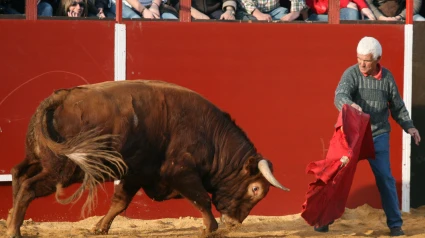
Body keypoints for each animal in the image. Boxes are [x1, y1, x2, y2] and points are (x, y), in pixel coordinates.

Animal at [4, 80, 288, 238]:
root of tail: (60, 96)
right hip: (62, 170)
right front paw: (209, 228)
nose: (235, 223)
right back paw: (14, 230)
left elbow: (119, 203)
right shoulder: (180, 172)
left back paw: (10, 222)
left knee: (18, 175)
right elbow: (201, 199)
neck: (212, 137)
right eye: (255, 189)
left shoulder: (136, 174)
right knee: (29, 186)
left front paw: (99, 228)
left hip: (38, 158)